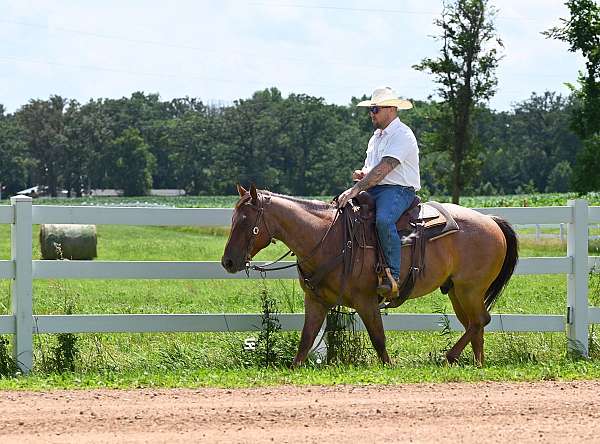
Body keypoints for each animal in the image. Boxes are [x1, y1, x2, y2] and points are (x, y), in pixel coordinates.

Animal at [223, 184, 516, 368]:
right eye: (233, 219)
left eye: (246, 222)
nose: (228, 261)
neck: (328, 236)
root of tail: (490, 220)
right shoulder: (316, 301)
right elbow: (306, 340)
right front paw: (295, 368)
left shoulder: (366, 301)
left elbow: (378, 339)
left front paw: (389, 366)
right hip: (457, 290)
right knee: (474, 324)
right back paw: (476, 363)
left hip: (470, 289)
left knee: (479, 321)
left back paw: (450, 357)